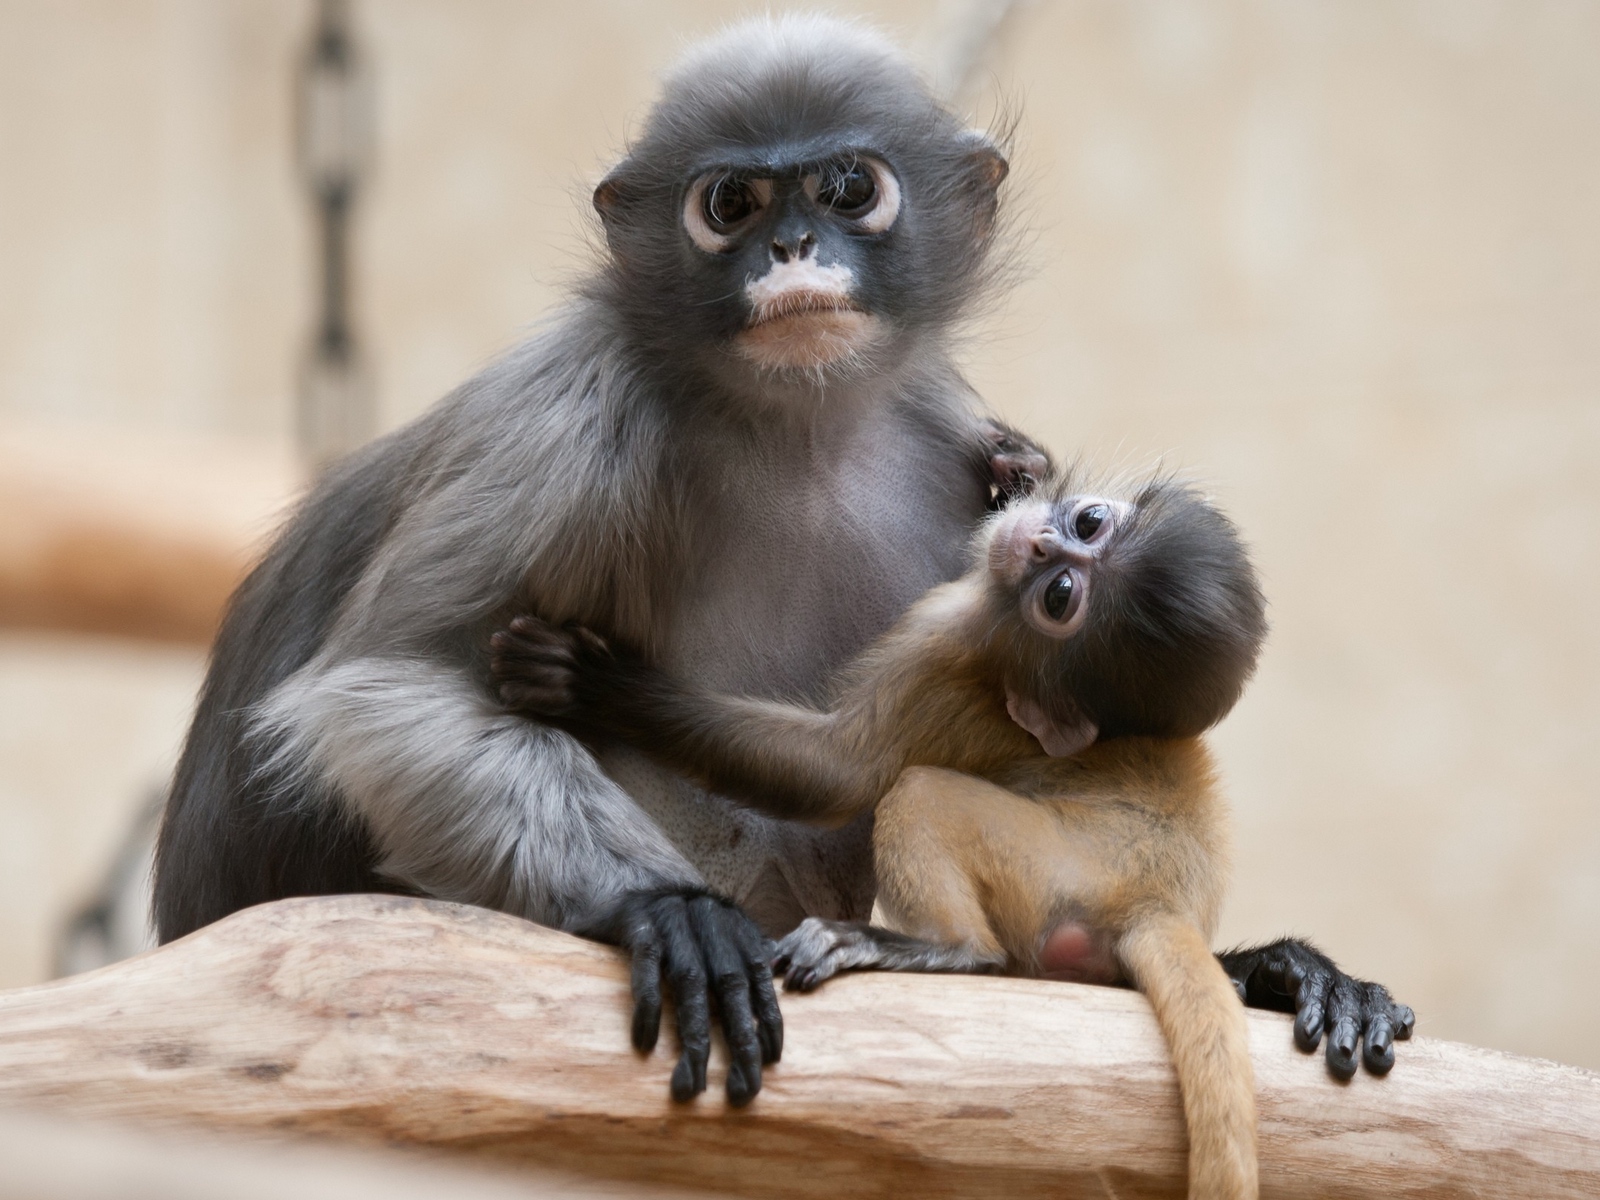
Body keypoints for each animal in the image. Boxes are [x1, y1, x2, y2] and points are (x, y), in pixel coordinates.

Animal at [153, 15, 1410, 1108]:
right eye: (732, 203)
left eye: (849, 188)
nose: (793, 247)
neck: (797, 430)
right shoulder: (570, 415)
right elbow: (386, 689)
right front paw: (670, 910)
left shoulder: (945, 436)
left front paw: (1275, 966)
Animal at [489, 472, 1408, 1197]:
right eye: (1087, 524)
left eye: (1061, 598)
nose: (1038, 539)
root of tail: (1152, 900)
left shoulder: (952, 638)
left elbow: (839, 772)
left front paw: (599, 686)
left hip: (1049, 865)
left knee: (920, 799)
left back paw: (944, 949)